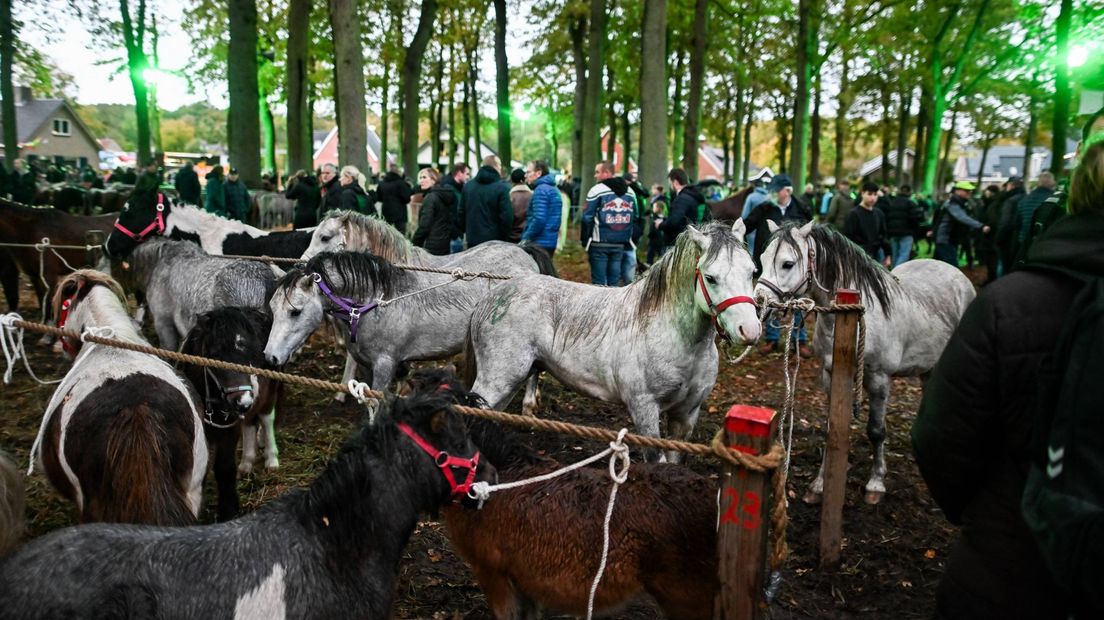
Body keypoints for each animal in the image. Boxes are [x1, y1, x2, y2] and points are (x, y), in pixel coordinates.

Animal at [180, 308, 284, 521]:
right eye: (214, 354)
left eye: (253, 354)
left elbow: (224, 467)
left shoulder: (230, 429)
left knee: (266, 418)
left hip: (270, 393)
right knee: (250, 423)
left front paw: (229, 510)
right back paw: (246, 464)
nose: (243, 401)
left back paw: (271, 459)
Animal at [265, 249, 521, 391]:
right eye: (272, 309)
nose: (270, 356)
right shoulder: (366, 365)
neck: (373, 304)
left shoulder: (385, 365)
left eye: (295, 311)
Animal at [465, 221, 761, 462]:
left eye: (752, 271)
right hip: (497, 380)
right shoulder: (644, 409)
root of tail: (492, 297)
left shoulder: (686, 414)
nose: (749, 330)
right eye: (710, 277)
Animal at [755, 221, 975, 504]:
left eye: (788, 264)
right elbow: (831, 429)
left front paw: (876, 483)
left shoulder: (879, 379)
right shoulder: (830, 375)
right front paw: (819, 485)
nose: (759, 303)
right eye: (762, 258)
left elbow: (876, 431)